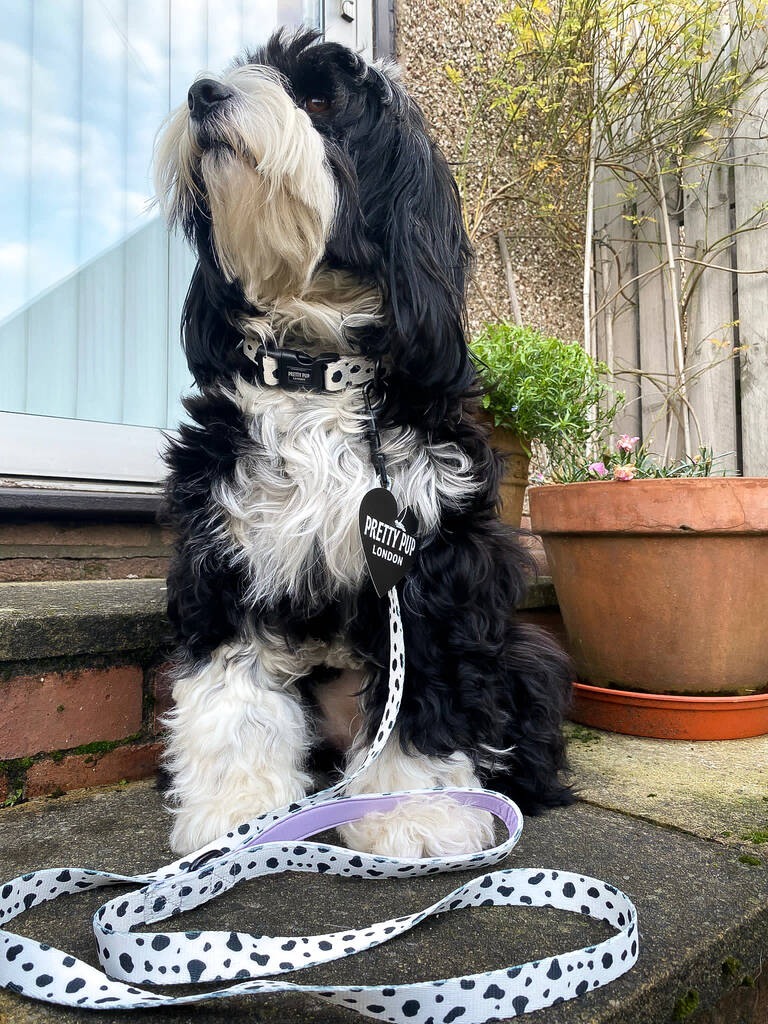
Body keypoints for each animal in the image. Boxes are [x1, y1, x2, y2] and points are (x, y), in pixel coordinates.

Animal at [153, 28, 573, 856]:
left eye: (320, 99)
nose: (202, 91)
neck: (317, 373)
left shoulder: (432, 568)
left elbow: (424, 699)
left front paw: (416, 816)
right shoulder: (226, 552)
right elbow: (232, 688)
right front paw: (236, 810)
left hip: (526, 657)